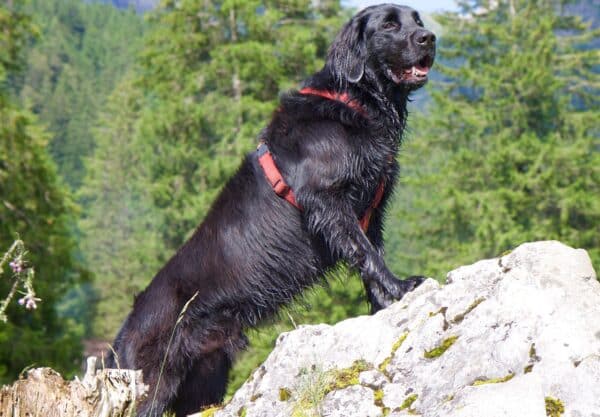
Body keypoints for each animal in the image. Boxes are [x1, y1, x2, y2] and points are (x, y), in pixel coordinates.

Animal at [106, 4, 436, 416]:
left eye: (417, 21)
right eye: (390, 24)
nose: (429, 38)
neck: (353, 102)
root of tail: (121, 339)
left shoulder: (371, 212)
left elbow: (371, 257)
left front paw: (382, 305)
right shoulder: (328, 202)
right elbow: (365, 253)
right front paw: (401, 287)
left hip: (206, 374)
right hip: (153, 386)